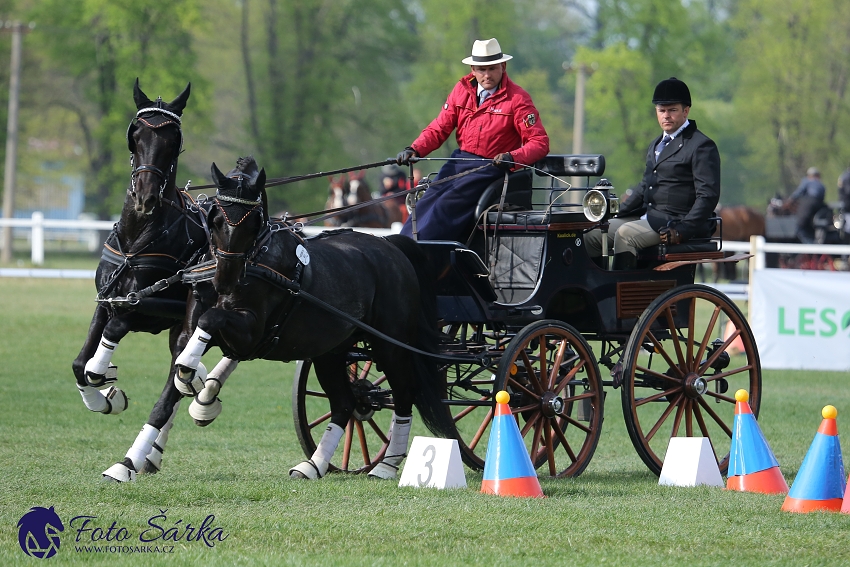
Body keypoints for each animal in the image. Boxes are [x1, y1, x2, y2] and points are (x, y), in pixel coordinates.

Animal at [71, 79, 207, 480]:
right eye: (136, 135)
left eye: (173, 139)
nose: (145, 196)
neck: (139, 238)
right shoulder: (106, 301)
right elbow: (79, 363)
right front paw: (106, 399)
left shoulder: (148, 306)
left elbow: (113, 333)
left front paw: (104, 374)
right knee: (181, 373)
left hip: (188, 320)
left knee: (173, 385)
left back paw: (129, 460)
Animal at [171, 155, 458, 480]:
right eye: (217, 219)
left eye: (254, 220)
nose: (225, 281)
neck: (259, 260)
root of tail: (391, 247)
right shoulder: (198, 325)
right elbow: (188, 341)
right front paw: (195, 386)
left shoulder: (250, 332)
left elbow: (211, 321)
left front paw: (195, 382)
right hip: (330, 351)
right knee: (345, 403)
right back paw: (313, 464)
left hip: (391, 346)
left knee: (403, 394)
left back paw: (386, 464)